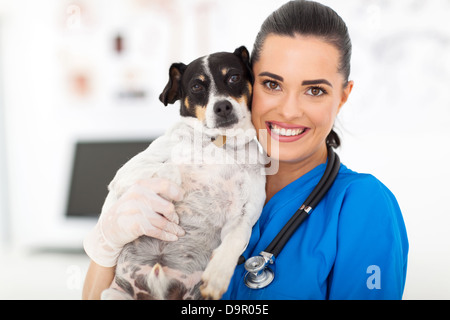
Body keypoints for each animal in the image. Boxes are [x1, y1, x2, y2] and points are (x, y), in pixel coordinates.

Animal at [100, 47, 266, 300]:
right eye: (196, 86)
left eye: (234, 77)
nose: (222, 107)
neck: (221, 143)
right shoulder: (128, 172)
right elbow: (169, 167)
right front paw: (173, 180)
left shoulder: (245, 214)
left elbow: (238, 238)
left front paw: (218, 274)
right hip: (112, 294)